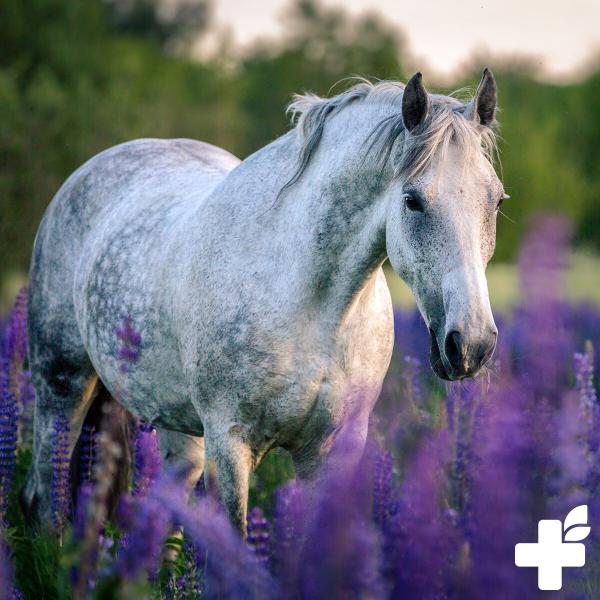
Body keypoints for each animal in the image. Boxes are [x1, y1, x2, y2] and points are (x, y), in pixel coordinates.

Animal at [23, 68, 504, 532]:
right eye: (412, 200)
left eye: (497, 201)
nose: (472, 343)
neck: (313, 309)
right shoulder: (230, 444)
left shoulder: (330, 450)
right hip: (61, 389)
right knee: (46, 495)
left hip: (179, 430)